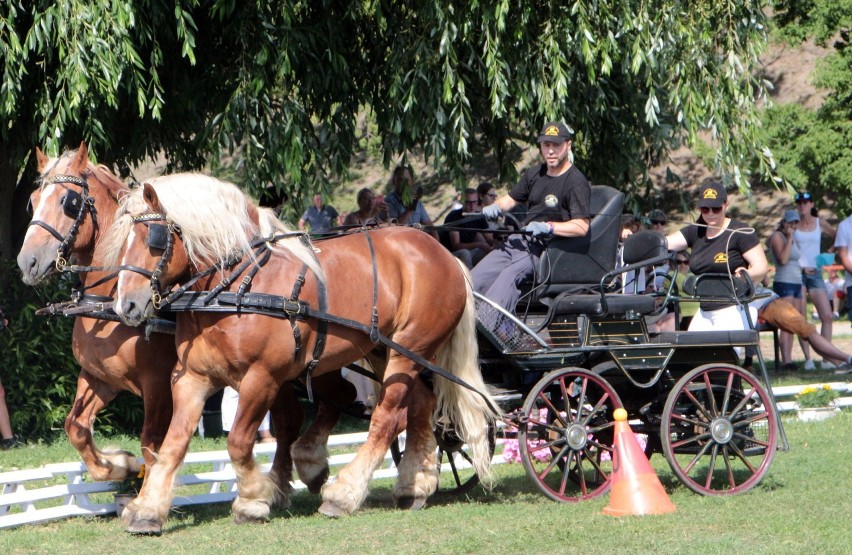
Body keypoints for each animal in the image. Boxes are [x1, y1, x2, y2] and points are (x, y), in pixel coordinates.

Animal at [15, 144, 356, 508]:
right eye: (32, 200)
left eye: (69, 201)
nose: (27, 261)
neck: (106, 304)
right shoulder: (100, 377)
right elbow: (76, 428)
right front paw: (119, 466)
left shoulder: (157, 383)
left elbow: (151, 442)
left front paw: (146, 496)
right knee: (294, 418)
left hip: (307, 368)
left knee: (339, 397)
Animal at [105, 177, 500, 536]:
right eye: (121, 241)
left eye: (153, 238)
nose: (126, 306)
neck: (236, 288)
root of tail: (442, 252)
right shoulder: (191, 378)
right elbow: (172, 445)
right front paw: (148, 510)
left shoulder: (261, 378)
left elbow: (239, 441)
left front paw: (253, 499)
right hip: (385, 351)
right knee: (419, 405)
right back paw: (414, 484)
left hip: (411, 350)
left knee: (386, 418)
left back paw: (344, 494)